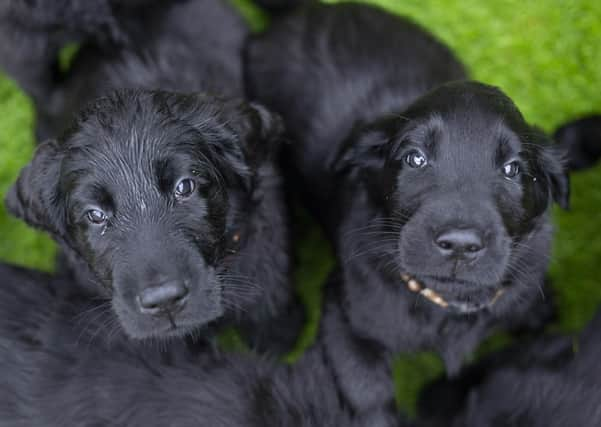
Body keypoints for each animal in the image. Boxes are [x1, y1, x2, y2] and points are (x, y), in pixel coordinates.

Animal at [245, 0, 568, 414]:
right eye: (415, 158)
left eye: (513, 169)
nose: (460, 244)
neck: (446, 305)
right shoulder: (345, 319)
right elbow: (371, 397)